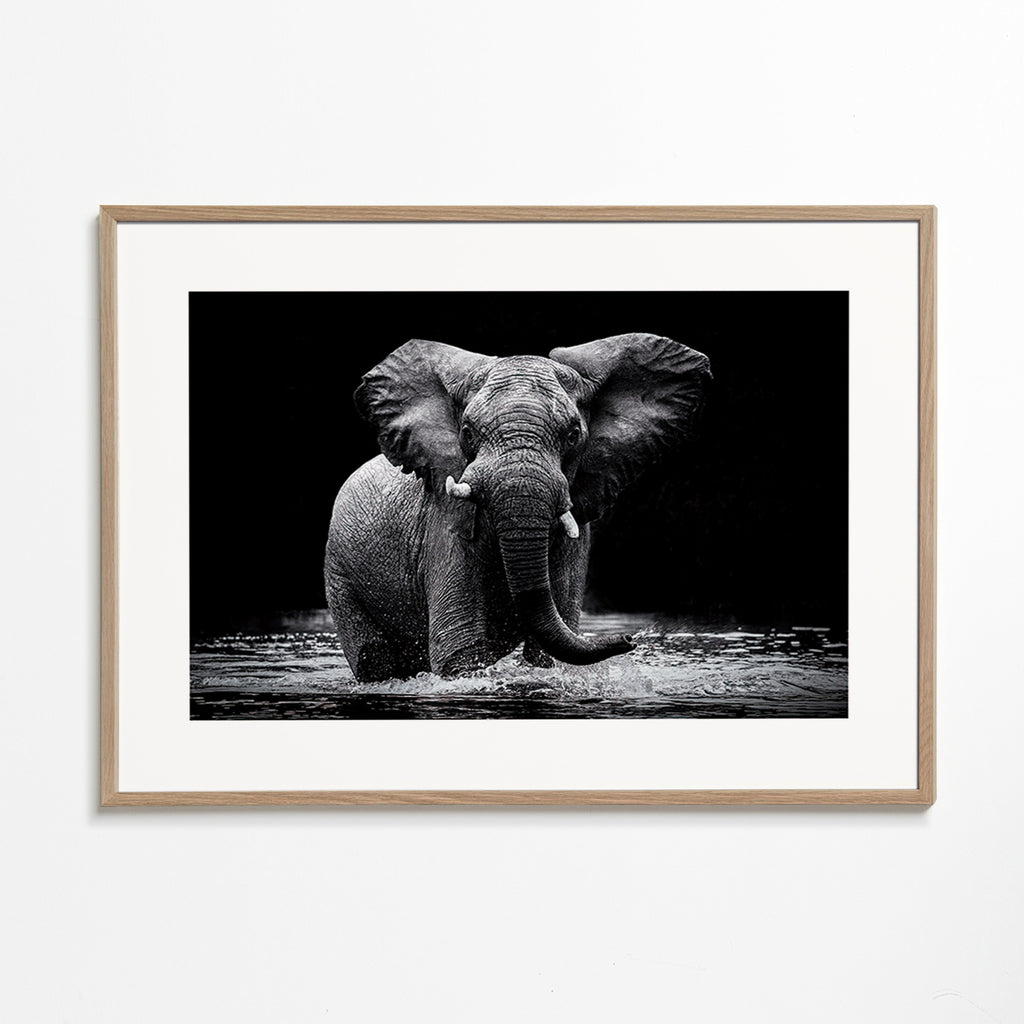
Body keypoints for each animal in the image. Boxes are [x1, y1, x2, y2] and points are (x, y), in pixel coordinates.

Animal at [324, 332, 711, 682]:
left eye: (573, 434)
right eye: (467, 432)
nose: (631, 638)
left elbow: (547, 653)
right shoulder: (446, 523)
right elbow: (459, 652)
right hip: (339, 573)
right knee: (373, 660)